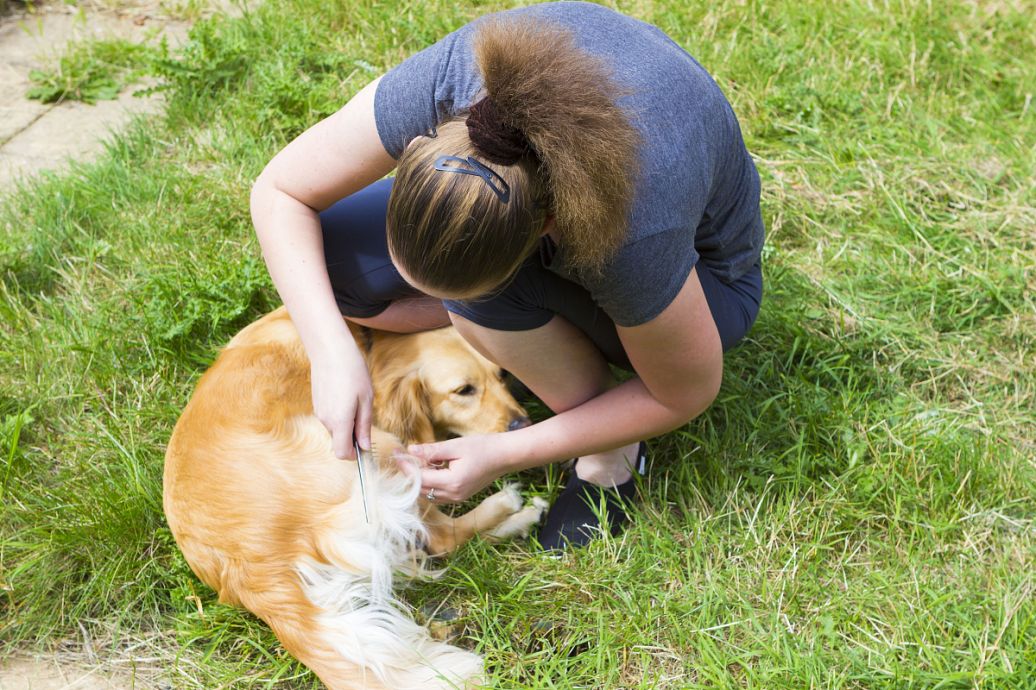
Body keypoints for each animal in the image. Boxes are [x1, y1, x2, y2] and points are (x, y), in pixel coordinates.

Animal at [161, 306, 547, 687]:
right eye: (463, 390)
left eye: (501, 375)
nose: (523, 426)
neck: (369, 347)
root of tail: (250, 569)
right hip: (373, 446)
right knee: (443, 537)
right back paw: (513, 509)